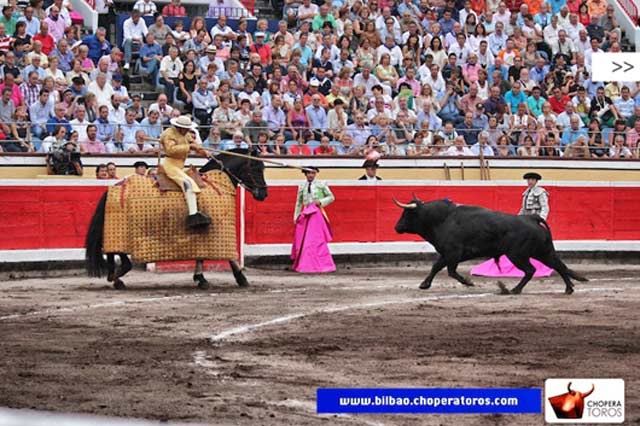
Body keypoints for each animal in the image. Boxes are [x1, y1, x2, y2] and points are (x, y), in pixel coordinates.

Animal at [84, 149, 268, 290]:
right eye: (256, 169)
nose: (264, 194)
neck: (216, 183)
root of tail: (114, 187)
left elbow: (201, 255)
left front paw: (200, 278)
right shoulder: (219, 228)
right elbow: (230, 256)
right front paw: (241, 278)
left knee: (111, 252)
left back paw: (114, 277)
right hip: (120, 230)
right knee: (120, 257)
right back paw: (116, 277)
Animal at [396, 198, 592, 294]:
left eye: (406, 213)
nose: (396, 227)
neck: (443, 219)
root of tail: (531, 218)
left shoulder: (453, 253)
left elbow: (449, 271)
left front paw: (469, 282)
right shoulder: (447, 253)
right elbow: (436, 267)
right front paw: (424, 284)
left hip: (518, 255)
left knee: (530, 270)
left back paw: (514, 290)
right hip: (543, 252)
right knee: (559, 266)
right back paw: (569, 288)